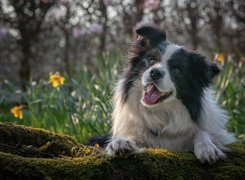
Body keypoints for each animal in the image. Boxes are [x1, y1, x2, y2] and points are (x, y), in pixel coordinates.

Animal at [105, 25, 234, 163]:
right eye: (151, 60)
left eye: (177, 69)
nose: (155, 73)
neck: (160, 112)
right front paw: (120, 142)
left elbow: (201, 132)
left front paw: (207, 148)